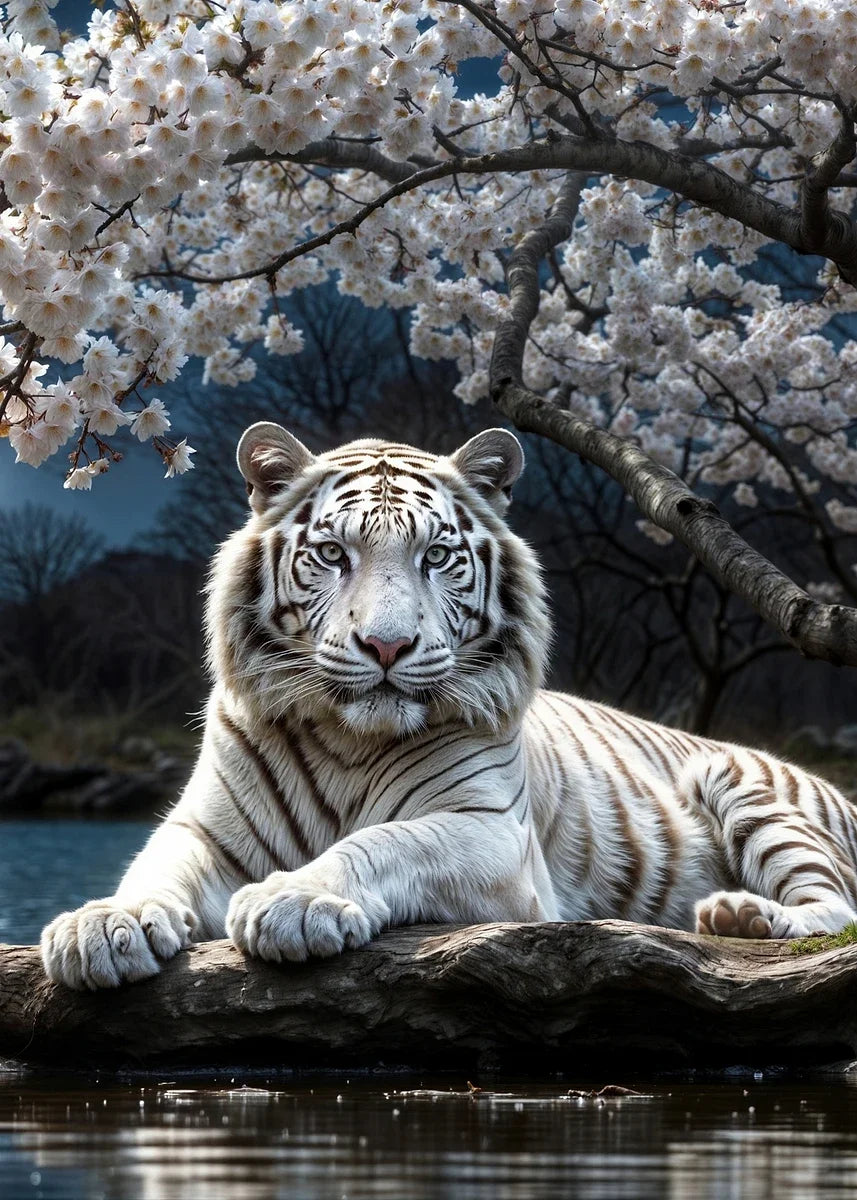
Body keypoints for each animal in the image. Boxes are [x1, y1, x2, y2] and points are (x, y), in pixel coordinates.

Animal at [41, 423, 857, 989]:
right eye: (332, 554)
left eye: (436, 555)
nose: (387, 645)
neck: (348, 741)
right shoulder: (206, 830)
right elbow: (152, 867)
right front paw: (101, 928)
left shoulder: (491, 836)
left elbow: (384, 843)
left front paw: (295, 900)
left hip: (749, 789)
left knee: (836, 908)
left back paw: (743, 915)